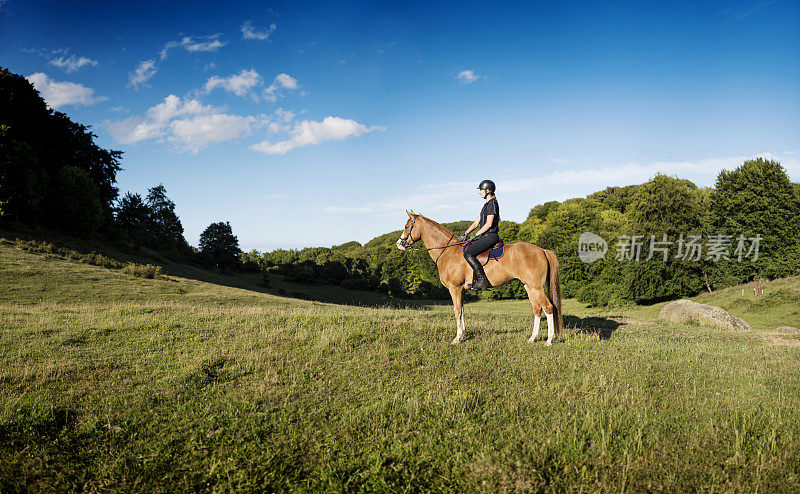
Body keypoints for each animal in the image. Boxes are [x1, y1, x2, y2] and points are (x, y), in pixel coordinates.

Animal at [394, 210, 564, 346]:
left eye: (407, 226)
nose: (398, 244)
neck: (447, 251)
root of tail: (542, 250)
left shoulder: (454, 288)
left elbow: (457, 310)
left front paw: (457, 338)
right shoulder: (461, 290)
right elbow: (462, 310)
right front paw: (463, 334)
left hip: (536, 287)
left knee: (548, 307)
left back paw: (549, 340)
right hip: (529, 287)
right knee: (537, 309)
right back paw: (533, 338)